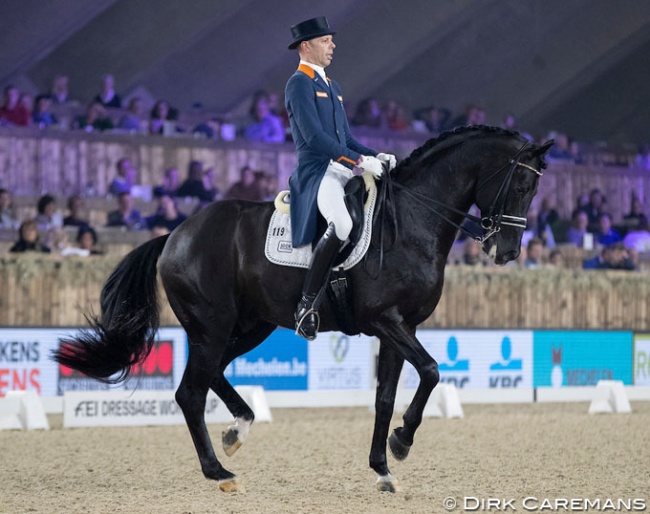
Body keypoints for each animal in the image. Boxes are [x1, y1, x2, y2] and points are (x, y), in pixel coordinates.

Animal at [54, 125, 552, 492]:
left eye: (533, 189)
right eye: (521, 183)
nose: (507, 252)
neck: (411, 221)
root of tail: (175, 234)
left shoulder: (400, 328)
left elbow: (386, 397)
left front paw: (383, 468)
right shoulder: (386, 321)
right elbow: (430, 371)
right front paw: (402, 442)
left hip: (250, 325)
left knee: (212, 375)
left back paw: (237, 431)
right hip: (211, 325)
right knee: (190, 392)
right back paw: (219, 472)